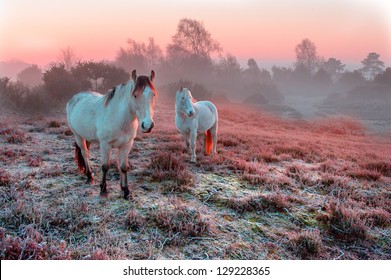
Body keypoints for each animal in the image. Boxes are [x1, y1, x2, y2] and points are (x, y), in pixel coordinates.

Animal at [66, 69, 157, 198]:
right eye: (135, 95)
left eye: (153, 95)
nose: (148, 125)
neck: (118, 116)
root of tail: (74, 98)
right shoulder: (105, 145)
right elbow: (105, 166)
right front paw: (103, 189)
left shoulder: (126, 145)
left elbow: (123, 167)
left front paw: (125, 191)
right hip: (78, 136)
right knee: (84, 153)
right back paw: (89, 176)